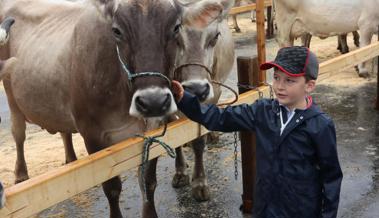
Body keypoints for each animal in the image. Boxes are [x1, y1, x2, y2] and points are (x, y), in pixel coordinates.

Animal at [0, 0, 232, 216]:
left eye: (176, 27)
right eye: (116, 31)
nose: (153, 101)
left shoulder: (155, 128)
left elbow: (148, 181)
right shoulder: (92, 135)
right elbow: (111, 187)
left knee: (64, 131)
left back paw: (71, 159)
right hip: (11, 94)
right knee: (18, 134)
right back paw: (21, 175)